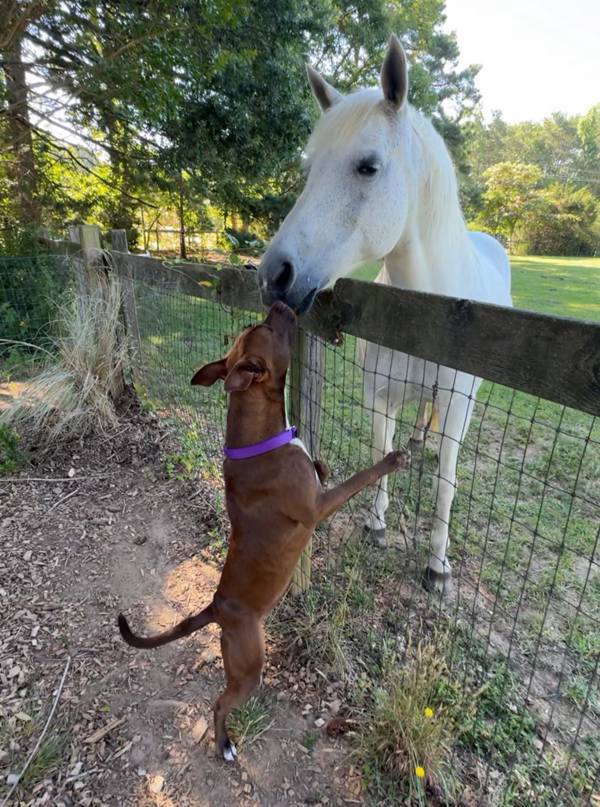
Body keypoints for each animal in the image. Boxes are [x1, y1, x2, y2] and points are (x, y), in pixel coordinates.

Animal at [117, 300, 408, 760]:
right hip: (248, 663)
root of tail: (216, 608)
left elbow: (324, 468)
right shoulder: (317, 506)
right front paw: (392, 460)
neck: (259, 437)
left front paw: (324, 462)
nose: (280, 303)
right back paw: (224, 744)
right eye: (269, 328)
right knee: (220, 703)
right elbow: (356, 480)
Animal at [258, 34, 510, 592]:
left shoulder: (454, 406)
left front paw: (438, 565)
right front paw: (376, 524)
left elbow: (446, 482)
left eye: (368, 166)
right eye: (308, 170)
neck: (429, 316)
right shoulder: (379, 396)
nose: (273, 275)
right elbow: (381, 454)